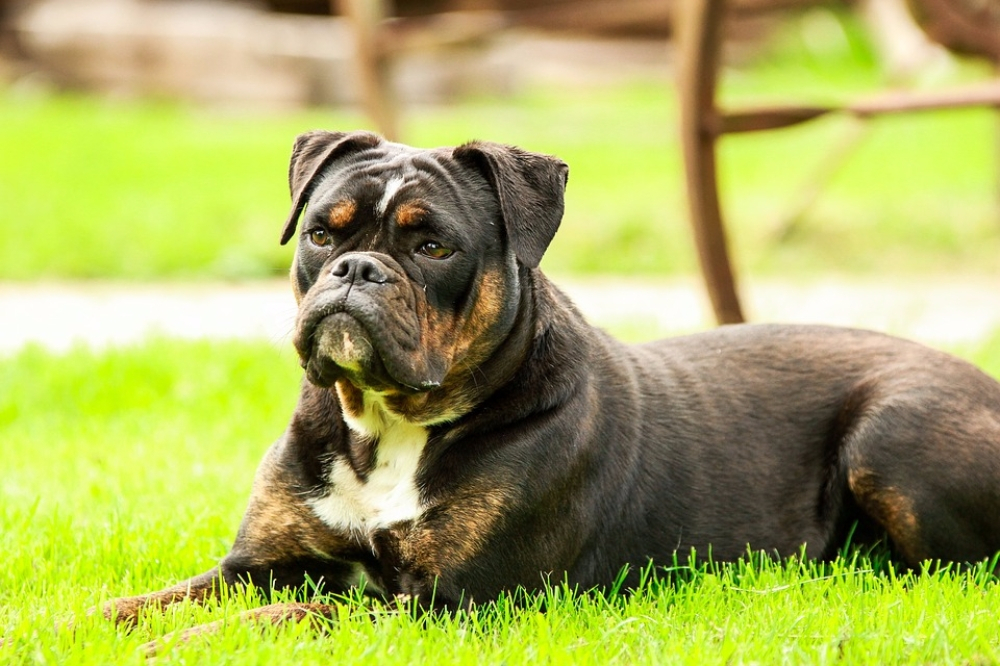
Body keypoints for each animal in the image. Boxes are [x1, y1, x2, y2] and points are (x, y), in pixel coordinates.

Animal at [99, 128, 1000, 640]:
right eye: (324, 233)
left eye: (433, 248)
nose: (357, 270)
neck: (389, 428)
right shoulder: (255, 564)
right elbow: (159, 599)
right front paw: (92, 623)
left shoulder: (447, 603)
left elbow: (302, 613)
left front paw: (187, 647)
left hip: (889, 431)